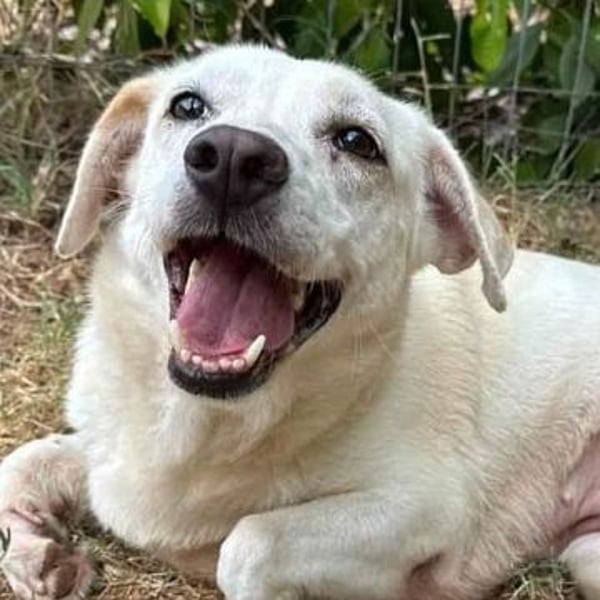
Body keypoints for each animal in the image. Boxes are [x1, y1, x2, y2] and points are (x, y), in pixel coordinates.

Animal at [1, 44, 599, 600]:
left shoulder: (427, 509)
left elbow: (248, 543)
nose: (233, 156)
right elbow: (21, 462)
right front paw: (40, 556)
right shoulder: (108, 460)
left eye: (358, 141)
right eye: (187, 105)